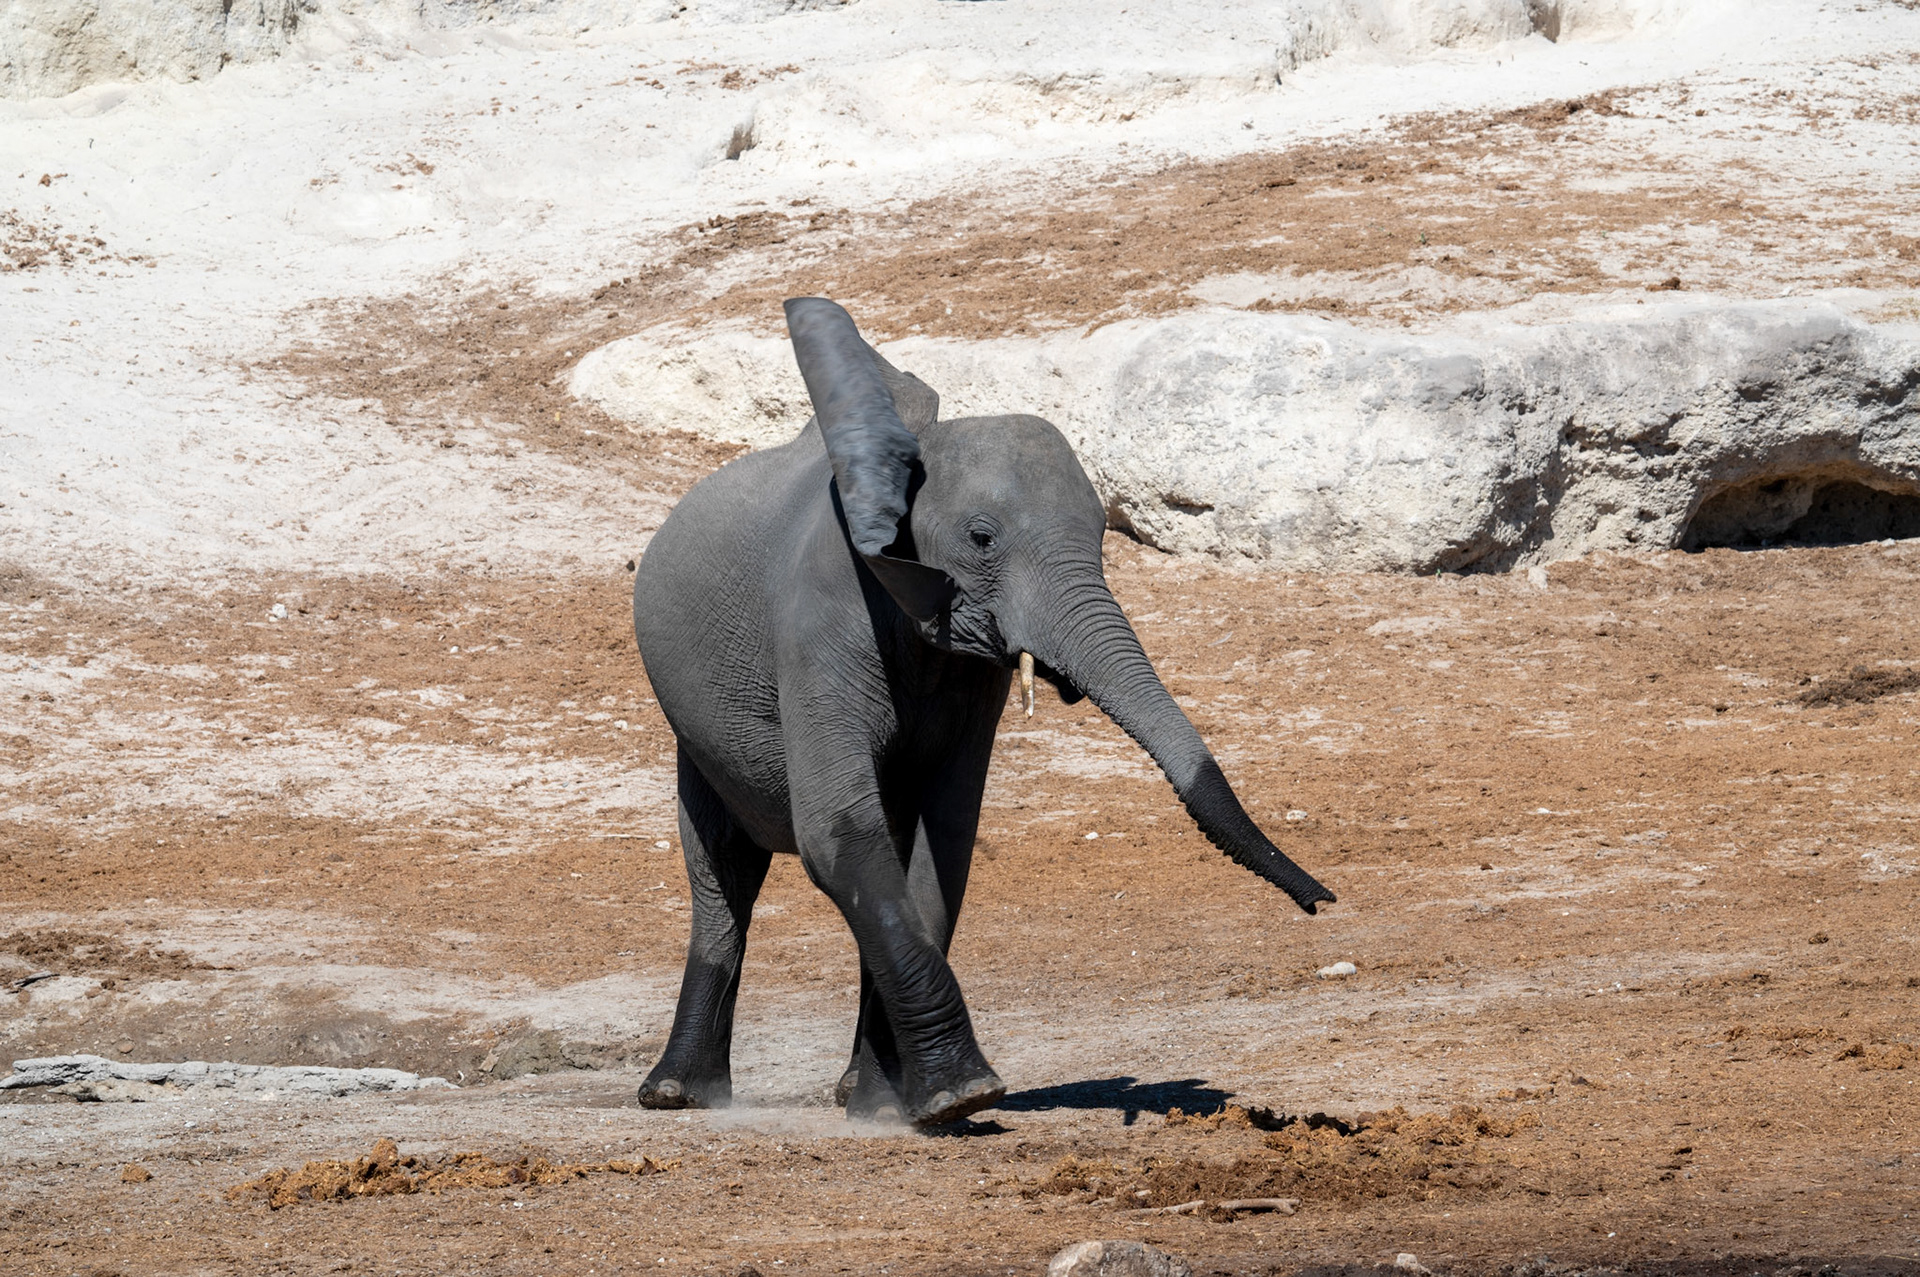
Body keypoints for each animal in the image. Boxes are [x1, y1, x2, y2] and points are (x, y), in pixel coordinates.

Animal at [630, 297, 1335, 1127]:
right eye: (982, 538)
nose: (1325, 901)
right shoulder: (818, 625)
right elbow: (839, 834)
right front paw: (962, 1094)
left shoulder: (971, 681)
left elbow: (943, 845)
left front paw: (896, 1109)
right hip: (691, 725)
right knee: (723, 870)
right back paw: (677, 1095)